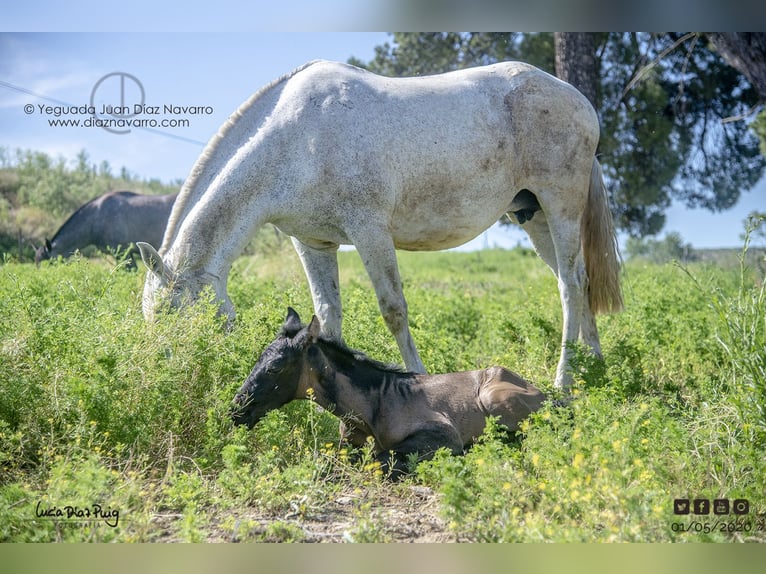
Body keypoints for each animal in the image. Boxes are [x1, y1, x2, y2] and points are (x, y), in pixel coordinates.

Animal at [138, 59, 623, 389]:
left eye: (171, 314)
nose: (174, 376)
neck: (298, 139)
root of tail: (579, 101)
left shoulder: (370, 231)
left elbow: (394, 310)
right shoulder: (312, 243)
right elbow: (327, 316)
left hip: (560, 206)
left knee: (570, 286)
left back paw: (564, 383)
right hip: (533, 216)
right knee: (578, 281)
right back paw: (596, 369)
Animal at [231, 308, 547, 478]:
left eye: (275, 367)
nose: (236, 409)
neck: (374, 405)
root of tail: (548, 397)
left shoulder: (445, 436)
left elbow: (379, 459)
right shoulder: (347, 440)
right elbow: (325, 456)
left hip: (495, 400)